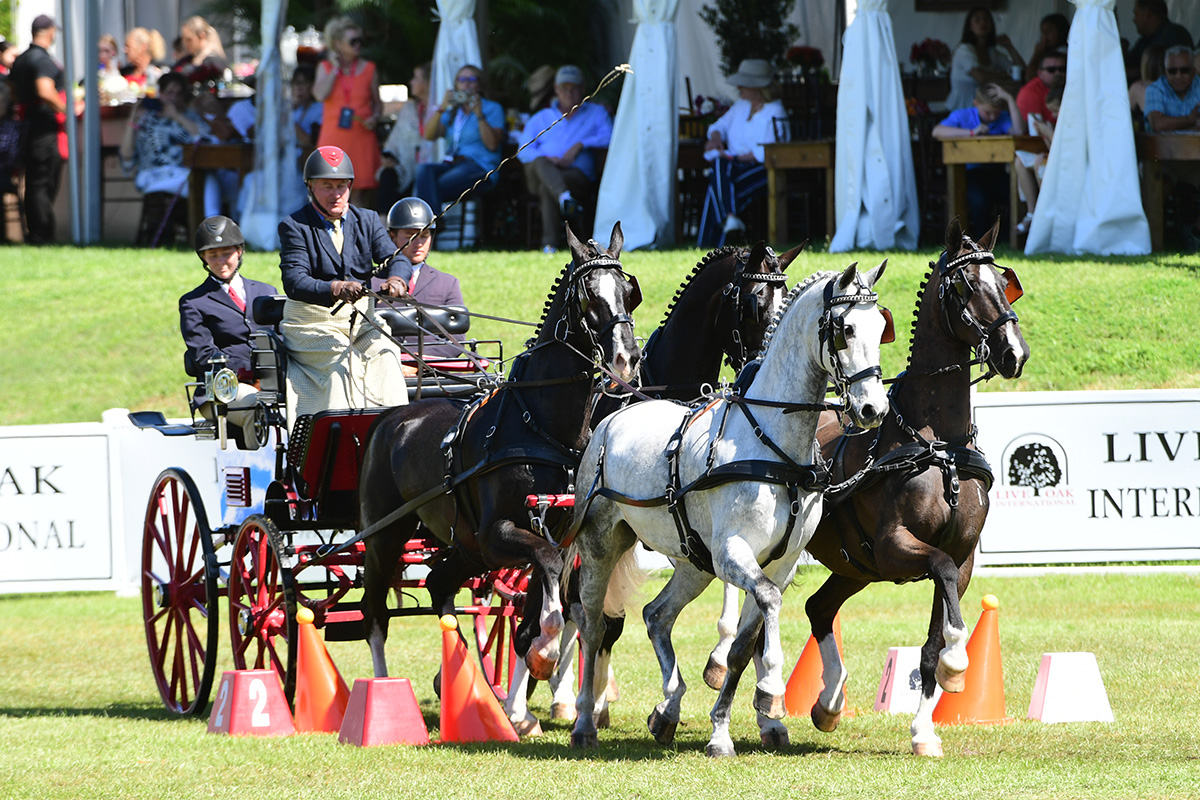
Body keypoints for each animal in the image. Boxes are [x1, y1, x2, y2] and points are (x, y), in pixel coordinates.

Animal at [357, 222, 642, 683]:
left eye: (629, 291)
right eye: (588, 296)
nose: (626, 358)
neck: (540, 426)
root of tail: (392, 415)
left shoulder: (551, 535)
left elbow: (538, 600)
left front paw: (536, 649)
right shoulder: (498, 533)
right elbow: (547, 568)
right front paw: (545, 649)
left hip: (465, 545)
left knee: (438, 584)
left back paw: (455, 676)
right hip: (385, 538)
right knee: (375, 614)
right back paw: (381, 685)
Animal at [503, 240, 799, 734]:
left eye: (786, 298)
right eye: (755, 304)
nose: (761, 371)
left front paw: (741, 682)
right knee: (555, 606)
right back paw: (526, 701)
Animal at [556, 262, 891, 756]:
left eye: (881, 328)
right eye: (845, 329)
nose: (873, 408)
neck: (773, 445)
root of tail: (611, 419)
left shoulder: (781, 563)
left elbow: (742, 646)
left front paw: (724, 730)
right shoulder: (734, 551)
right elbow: (765, 609)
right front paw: (771, 689)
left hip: (694, 561)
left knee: (656, 616)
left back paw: (668, 709)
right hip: (602, 545)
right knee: (594, 624)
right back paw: (583, 721)